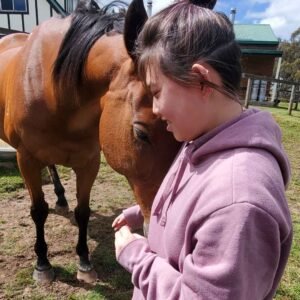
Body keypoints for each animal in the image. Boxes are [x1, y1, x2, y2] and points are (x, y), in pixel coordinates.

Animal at [0, 0, 180, 284]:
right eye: (141, 133)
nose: (161, 233)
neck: (56, 91)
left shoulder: (89, 161)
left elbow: (82, 211)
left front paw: (84, 261)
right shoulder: (25, 158)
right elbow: (38, 210)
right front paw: (42, 264)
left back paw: (61, 197)